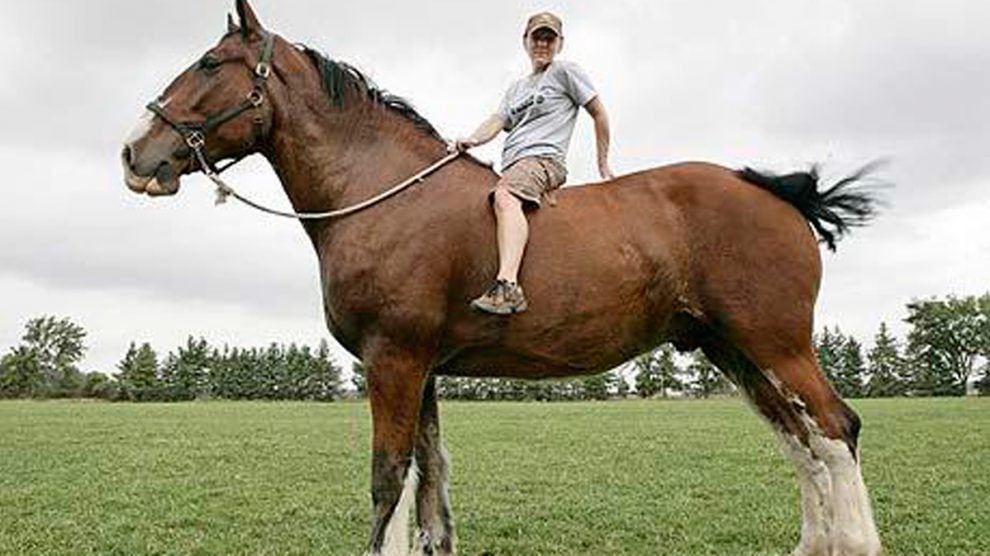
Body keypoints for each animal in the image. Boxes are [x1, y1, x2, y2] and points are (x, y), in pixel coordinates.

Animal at [121, 2, 884, 554]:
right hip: (736, 351)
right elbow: (428, 482)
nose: (135, 151)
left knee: (834, 430)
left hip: (777, 344)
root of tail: (776, 191)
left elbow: (388, 478)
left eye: (210, 63)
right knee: (802, 443)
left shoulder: (393, 359)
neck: (387, 192)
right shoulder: (420, 368)